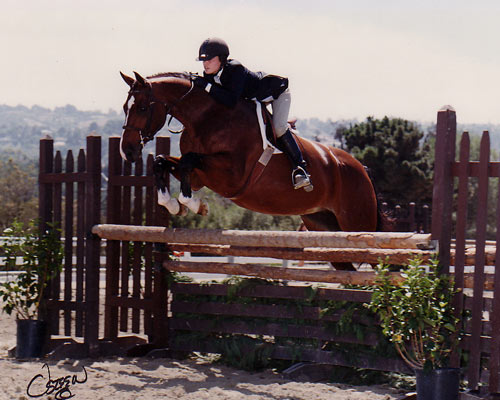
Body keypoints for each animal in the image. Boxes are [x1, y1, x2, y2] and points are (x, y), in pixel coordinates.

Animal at [118, 72, 382, 272]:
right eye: (124, 108)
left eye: (142, 108)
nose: (128, 151)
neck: (206, 118)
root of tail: (361, 168)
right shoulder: (199, 177)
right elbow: (163, 162)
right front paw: (173, 204)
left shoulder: (232, 176)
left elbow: (188, 161)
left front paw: (192, 204)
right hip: (323, 224)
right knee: (346, 265)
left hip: (356, 221)